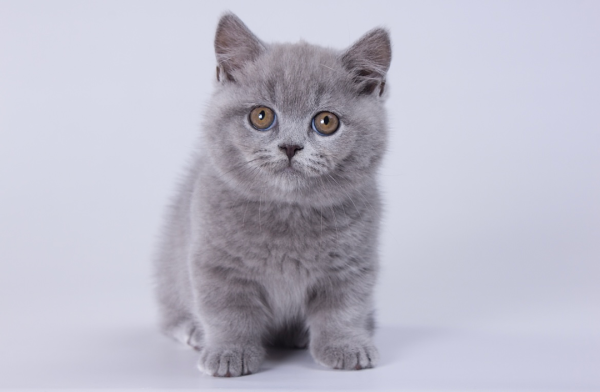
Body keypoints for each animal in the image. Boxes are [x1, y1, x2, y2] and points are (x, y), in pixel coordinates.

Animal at [152, 13, 392, 376]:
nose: (290, 146)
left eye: (326, 121)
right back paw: (192, 330)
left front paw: (347, 346)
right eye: (261, 116)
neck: (288, 210)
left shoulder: (352, 265)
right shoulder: (215, 264)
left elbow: (344, 309)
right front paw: (230, 353)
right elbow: (227, 312)